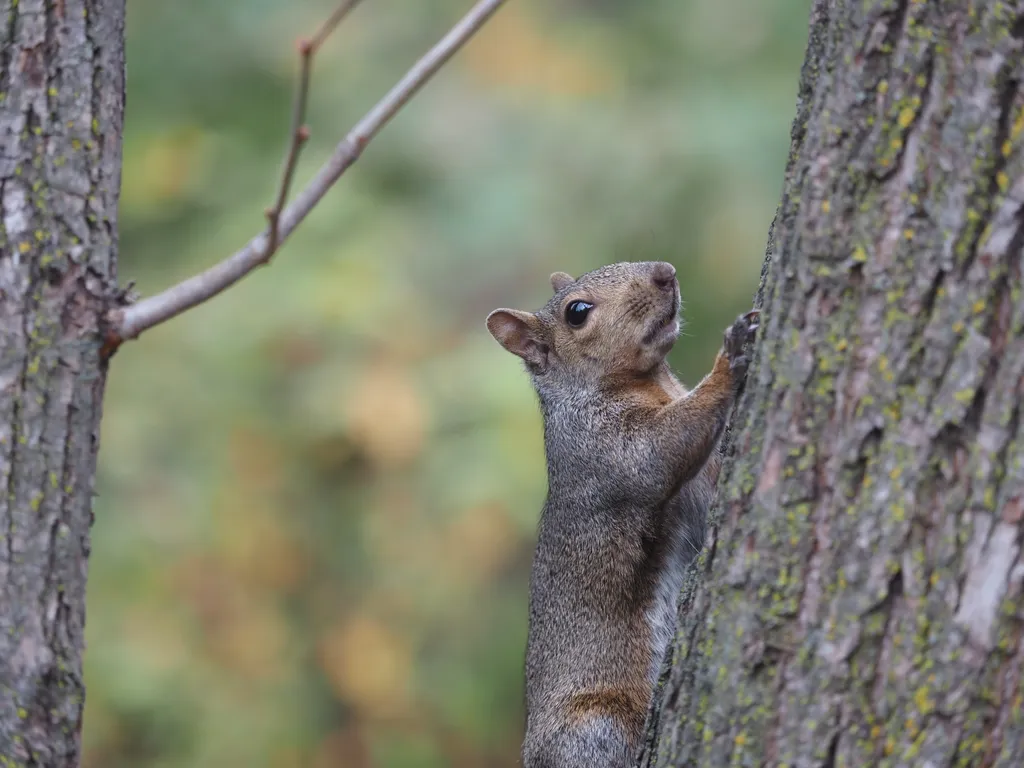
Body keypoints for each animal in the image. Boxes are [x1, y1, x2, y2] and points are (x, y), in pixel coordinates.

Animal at [483, 262, 757, 765]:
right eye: (577, 312)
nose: (666, 272)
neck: (652, 383)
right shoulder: (607, 451)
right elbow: (659, 453)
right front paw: (729, 359)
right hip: (596, 727)